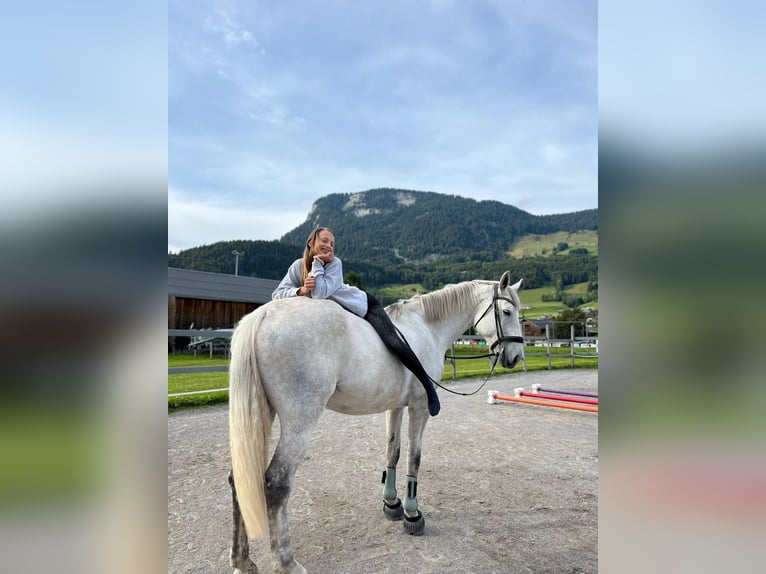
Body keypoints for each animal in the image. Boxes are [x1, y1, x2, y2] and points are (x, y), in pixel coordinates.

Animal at [228, 271, 525, 574]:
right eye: (507, 311)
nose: (516, 356)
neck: (426, 327)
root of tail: (262, 316)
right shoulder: (419, 407)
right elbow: (414, 458)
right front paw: (411, 513)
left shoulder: (395, 407)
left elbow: (392, 452)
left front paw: (391, 503)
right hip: (300, 421)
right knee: (276, 484)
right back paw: (287, 562)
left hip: (262, 415)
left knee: (240, 478)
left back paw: (243, 561)